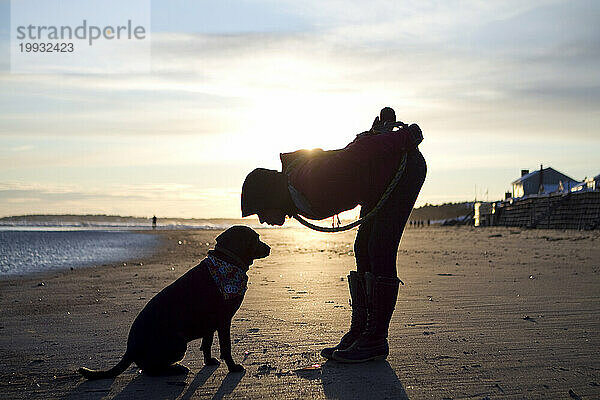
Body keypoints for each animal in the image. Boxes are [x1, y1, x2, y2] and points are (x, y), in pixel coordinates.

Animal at [78, 225, 270, 378]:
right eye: (256, 238)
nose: (269, 248)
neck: (226, 263)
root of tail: (130, 350)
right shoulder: (223, 320)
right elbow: (226, 347)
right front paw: (232, 367)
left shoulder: (209, 323)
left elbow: (207, 343)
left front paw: (208, 361)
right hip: (178, 344)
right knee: (151, 370)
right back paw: (176, 369)